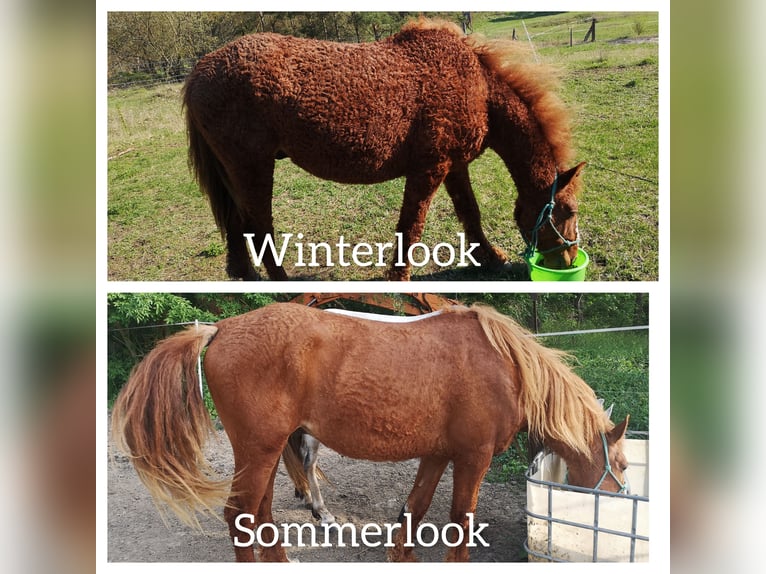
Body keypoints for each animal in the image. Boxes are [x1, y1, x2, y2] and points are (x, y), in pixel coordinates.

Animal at [111, 303, 630, 562]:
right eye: (622, 463)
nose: (621, 497)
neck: (506, 367)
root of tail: (219, 329)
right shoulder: (473, 458)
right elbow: (459, 523)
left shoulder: (437, 455)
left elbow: (414, 513)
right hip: (260, 449)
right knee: (240, 516)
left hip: (264, 450)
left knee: (260, 514)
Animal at [183, 19, 586, 281]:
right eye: (568, 211)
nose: (568, 260)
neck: (479, 88)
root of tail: (201, 67)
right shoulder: (429, 169)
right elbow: (411, 226)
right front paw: (399, 277)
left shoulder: (454, 167)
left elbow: (470, 214)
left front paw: (491, 257)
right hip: (252, 168)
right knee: (259, 226)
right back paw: (281, 283)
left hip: (235, 171)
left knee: (237, 224)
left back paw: (246, 274)